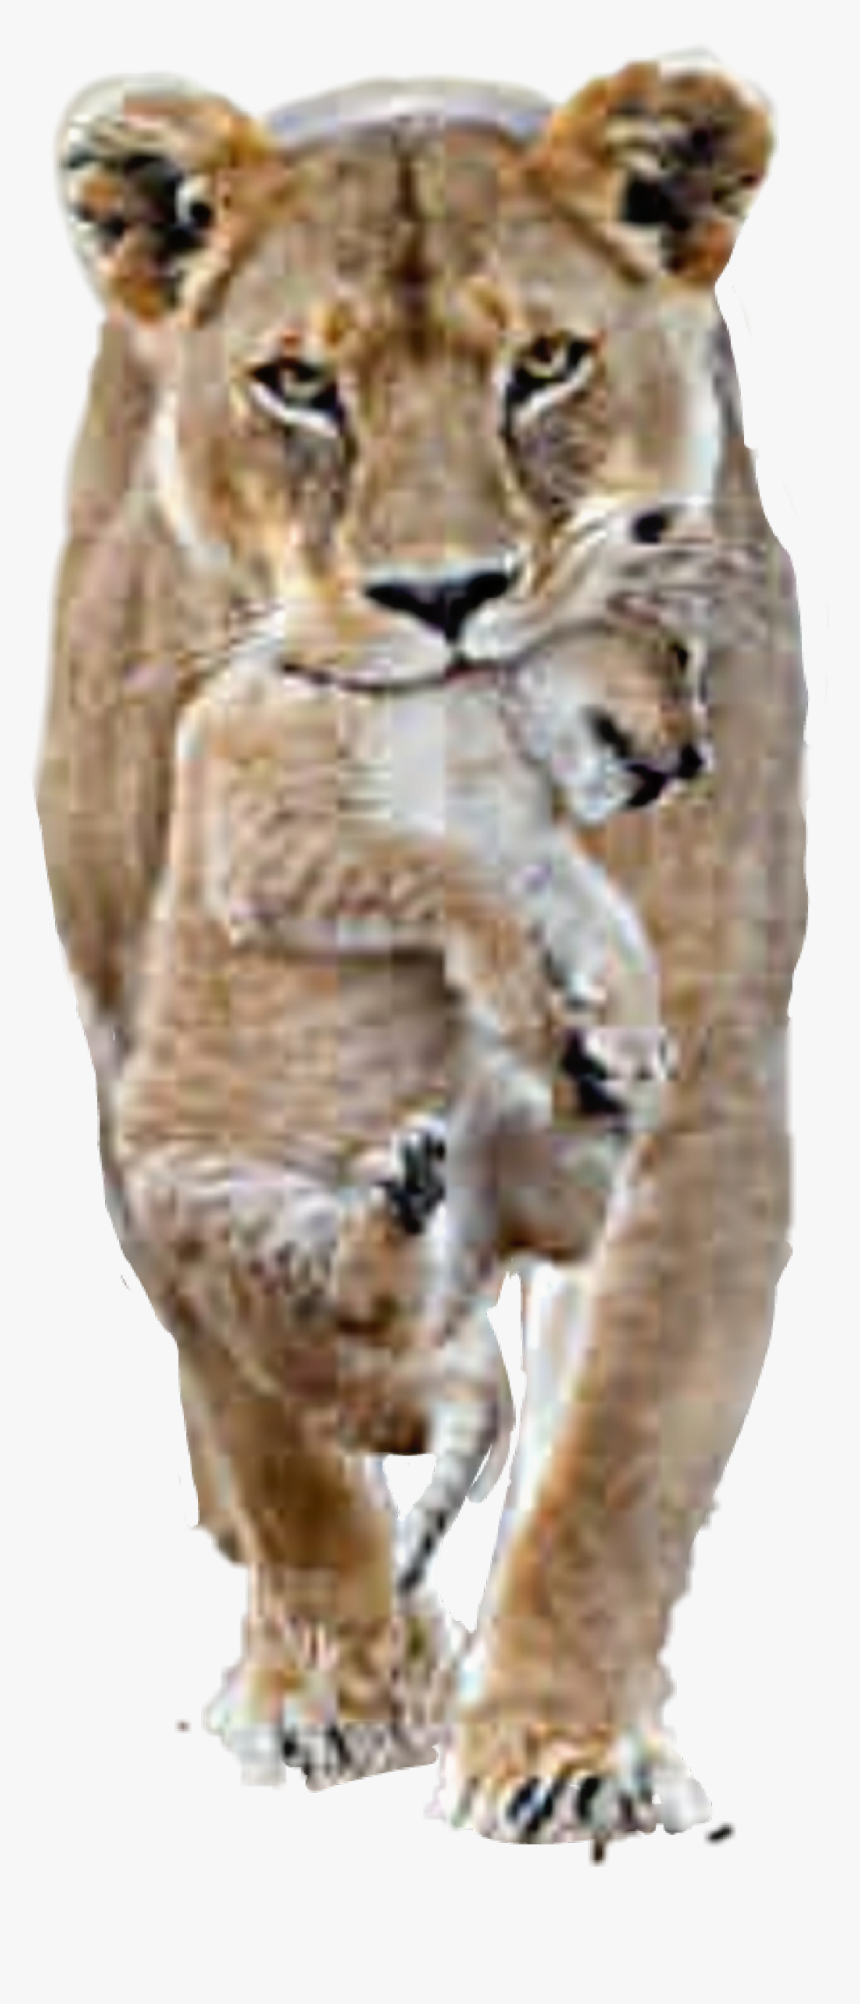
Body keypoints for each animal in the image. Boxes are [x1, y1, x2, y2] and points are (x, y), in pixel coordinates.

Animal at [36, 62, 802, 1828]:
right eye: (300, 384)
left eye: (547, 364)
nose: (444, 595)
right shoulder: (141, 1068)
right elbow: (270, 1427)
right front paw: (336, 1687)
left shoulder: (718, 1088)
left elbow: (625, 1441)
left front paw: (570, 1747)